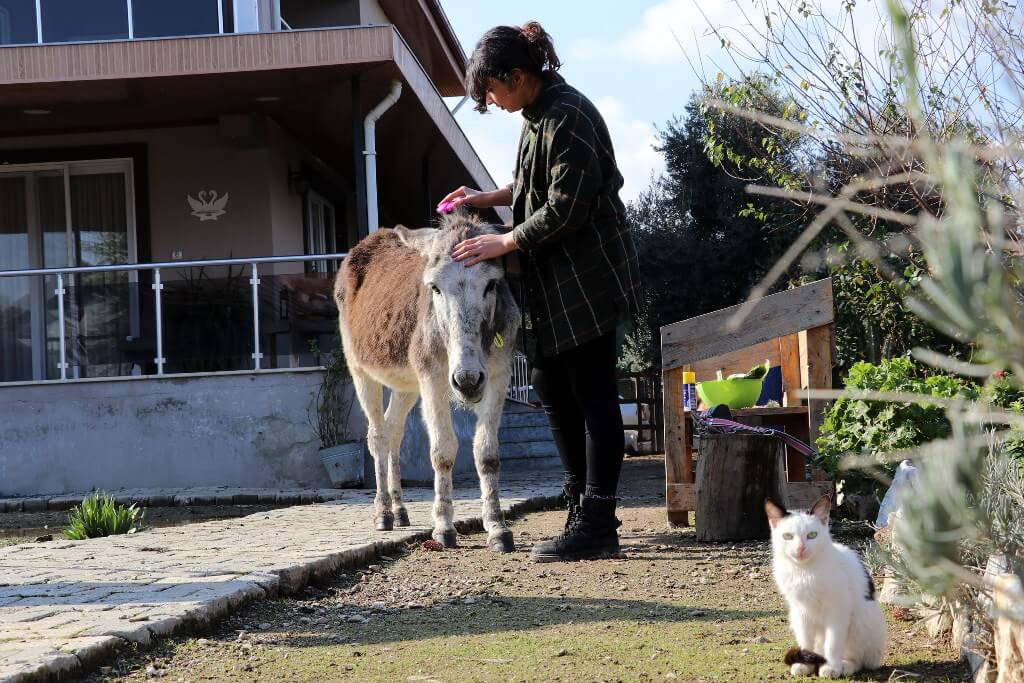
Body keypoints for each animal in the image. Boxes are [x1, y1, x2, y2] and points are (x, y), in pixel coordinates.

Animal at [770, 497, 888, 679]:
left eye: (812, 535)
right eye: (787, 536)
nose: (800, 548)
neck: (805, 571)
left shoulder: (837, 610)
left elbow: (833, 642)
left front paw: (832, 667)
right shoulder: (801, 610)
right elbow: (806, 640)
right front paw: (804, 663)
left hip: (861, 622)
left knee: (859, 659)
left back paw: (844, 665)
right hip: (795, 617)